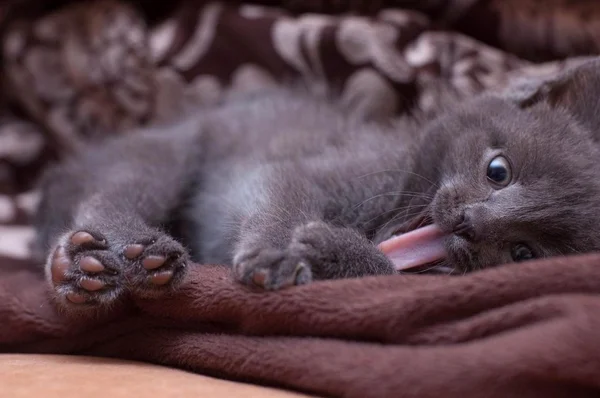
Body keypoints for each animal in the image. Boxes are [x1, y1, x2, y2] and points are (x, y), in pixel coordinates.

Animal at [34, 59, 600, 314]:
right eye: (498, 171)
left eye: (525, 253)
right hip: (167, 155)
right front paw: (279, 249)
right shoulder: (318, 169)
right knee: (110, 194)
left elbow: (387, 273)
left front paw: (330, 249)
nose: (468, 224)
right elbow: (283, 192)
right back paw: (107, 258)